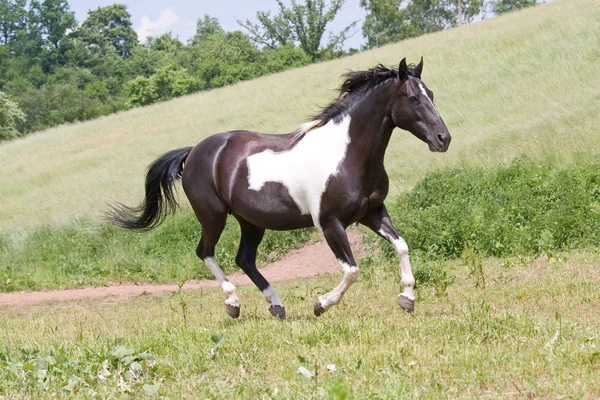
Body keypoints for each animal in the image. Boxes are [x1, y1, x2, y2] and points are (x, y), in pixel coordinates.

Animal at [111, 57, 450, 318]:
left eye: (432, 94)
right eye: (413, 99)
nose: (443, 139)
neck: (346, 155)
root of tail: (194, 151)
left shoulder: (373, 212)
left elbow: (401, 245)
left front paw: (407, 298)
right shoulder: (330, 223)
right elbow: (351, 270)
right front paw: (320, 305)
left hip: (250, 221)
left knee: (244, 259)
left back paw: (276, 306)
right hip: (213, 216)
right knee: (205, 252)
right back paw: (233, 303)